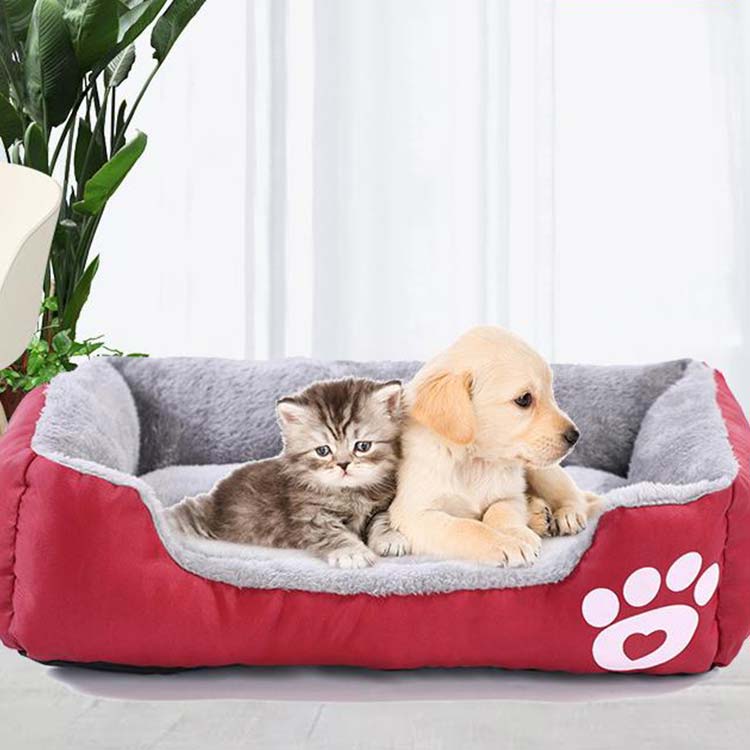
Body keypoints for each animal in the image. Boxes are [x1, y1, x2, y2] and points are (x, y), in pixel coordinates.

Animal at [166, 377, 410, 568]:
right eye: (323, 451)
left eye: (363, 446)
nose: (343, 464)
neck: (350, 493)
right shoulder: (310, 516)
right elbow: (332, 533)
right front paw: (351, 552)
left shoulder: (384, 502)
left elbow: (382, 518)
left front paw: (391, 537)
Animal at [386, 326, 599, 566]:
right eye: (524, 399)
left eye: (550, 393)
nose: (575, 435)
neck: (475, 460)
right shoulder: (414, 515)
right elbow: (466, 527)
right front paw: (505, 543)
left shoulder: (509, 496)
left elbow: (498, 512)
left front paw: (517, 534)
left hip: (543, 471)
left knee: (576, 495)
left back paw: (568, 514)